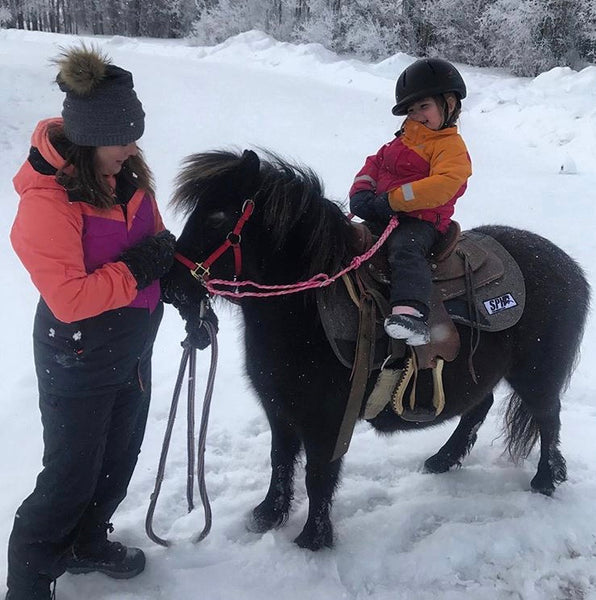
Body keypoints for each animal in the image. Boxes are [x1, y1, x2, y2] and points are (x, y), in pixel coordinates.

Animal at [164, 149, 592, 548]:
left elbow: (318, 475)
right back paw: (443, 460)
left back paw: (546, 479)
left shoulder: (327, 420)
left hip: (536, 374)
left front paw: (312, 539)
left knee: (548, 417)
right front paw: (268, 515)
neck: (308, 308)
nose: (171, 286)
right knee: (479, 406)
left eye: (217, 217)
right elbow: (280, 461)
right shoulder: (280, 410)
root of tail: (568, 265)